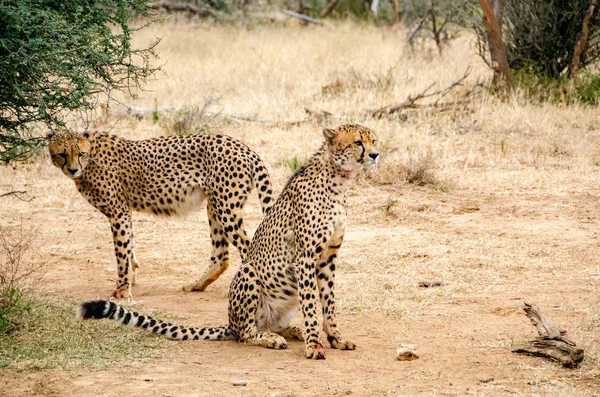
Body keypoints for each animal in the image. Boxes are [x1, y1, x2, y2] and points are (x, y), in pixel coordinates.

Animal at [49, 130, 274, 296]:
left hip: (226, 207)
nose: (72, 170)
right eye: (62, 154)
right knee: (221, 256)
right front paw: (131, 277)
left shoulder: (118, 210)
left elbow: (121, 251)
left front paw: (122, 290)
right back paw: (196, 285)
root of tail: (243, 147)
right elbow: (129, 244)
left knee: (247, 246)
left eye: (80, 153)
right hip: (215, 205)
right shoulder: (124, 211)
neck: (91, 157)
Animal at [78, 124, 380, 358]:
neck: (338, 182)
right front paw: (315, 346)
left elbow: (328, 303)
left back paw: (291, 330)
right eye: (357, 142)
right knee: (246, 332)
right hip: (248, 272)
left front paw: (335, 338)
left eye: (373, 140)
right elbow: (311, 304)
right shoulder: (305, 257)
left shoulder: (328, 257)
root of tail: (230, 323)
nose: (376, 154)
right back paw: (271, 338)